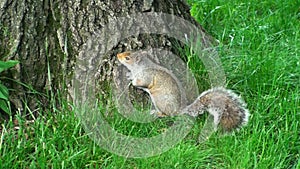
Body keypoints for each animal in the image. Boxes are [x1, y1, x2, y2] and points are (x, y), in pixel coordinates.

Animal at [116, 50, 250, 132]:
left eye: (127, 58)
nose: (117, 55)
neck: (140, 66)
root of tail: (179, 110)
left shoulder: (146, 76)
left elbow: (142, 83)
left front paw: (132, 81)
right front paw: (129, 75)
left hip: (159, 101)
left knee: (168, 114)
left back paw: (158, 113)